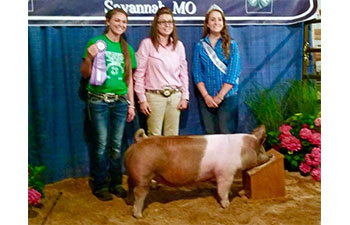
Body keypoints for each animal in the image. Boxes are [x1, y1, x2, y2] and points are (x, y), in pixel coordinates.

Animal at [124, 125, 270, 218]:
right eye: (262, 150)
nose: (270, 156)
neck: (241, 150)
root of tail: (139, 140)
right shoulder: (226, 172)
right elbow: (223, 189)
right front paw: (226, 205)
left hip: (133, 174)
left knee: (130, 186)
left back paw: (129, 202)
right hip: (144, 174)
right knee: (139, 192)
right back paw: (138, 215)